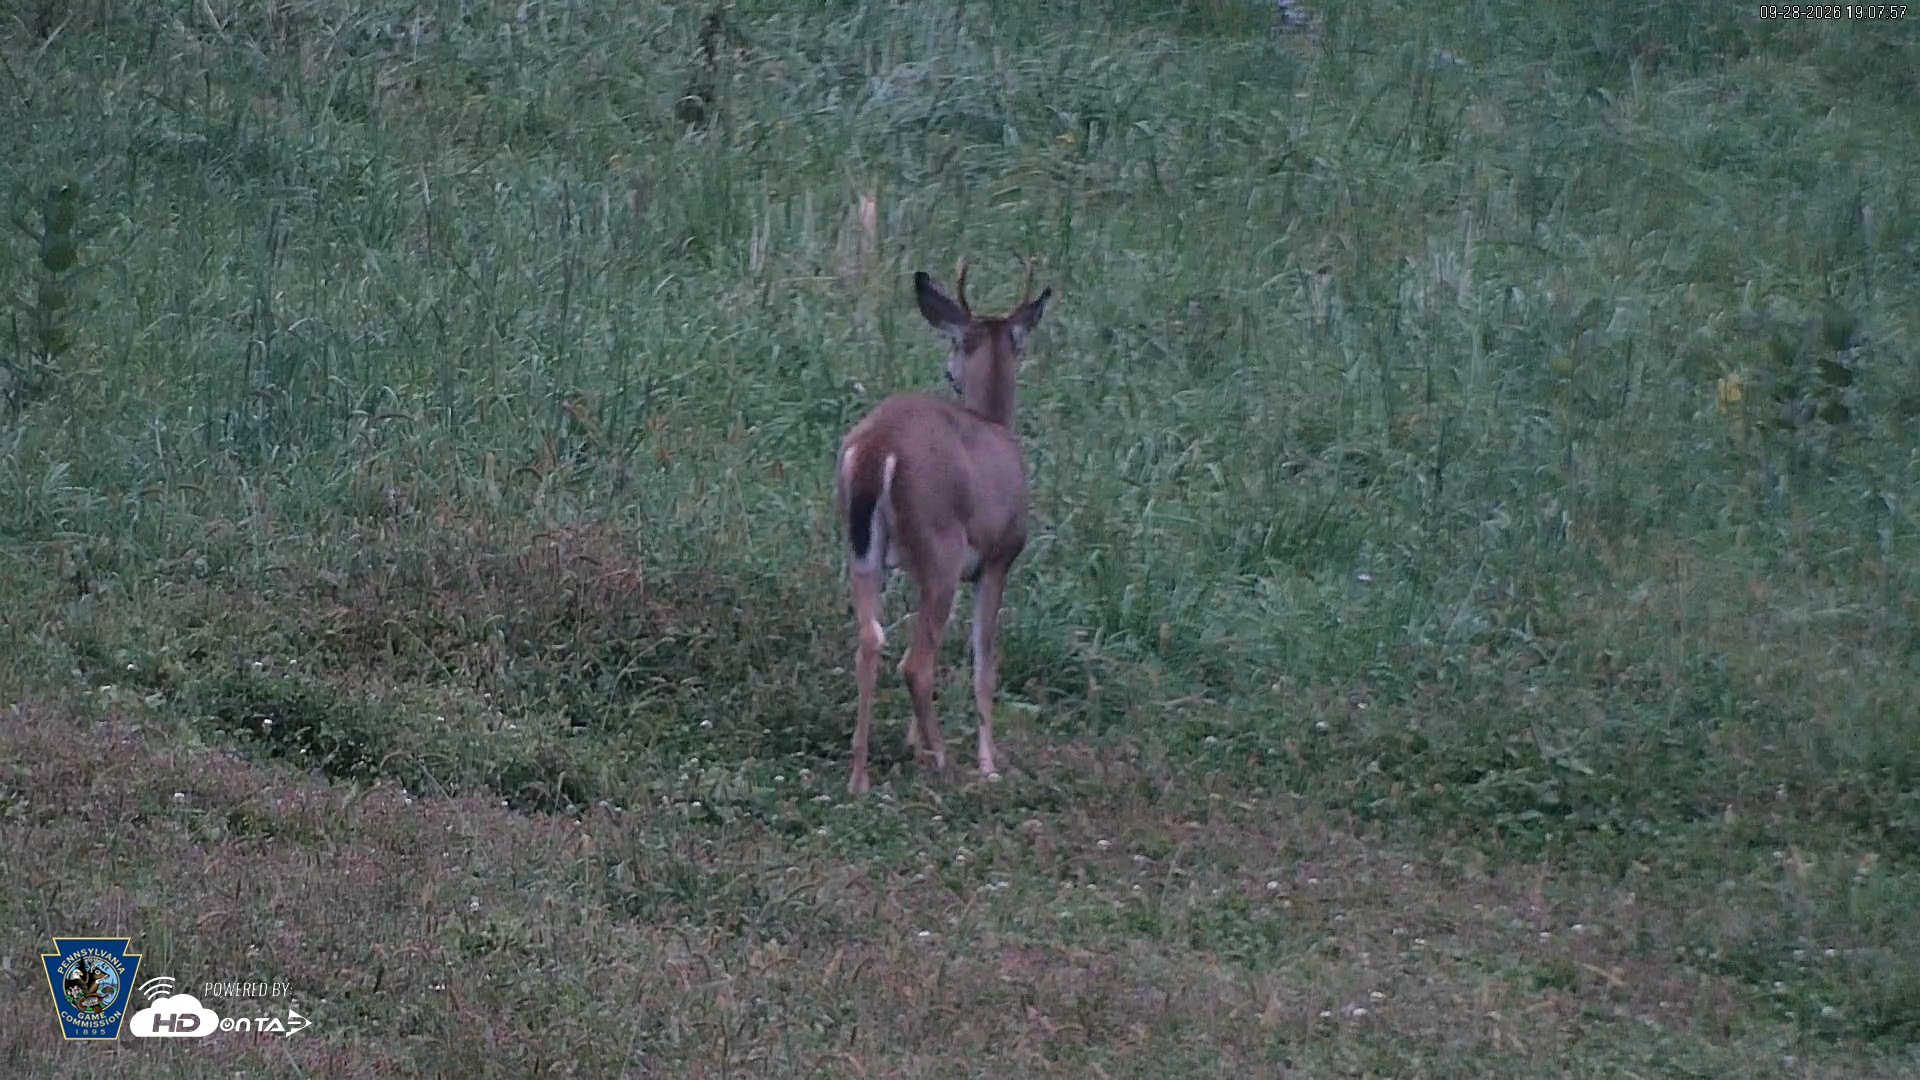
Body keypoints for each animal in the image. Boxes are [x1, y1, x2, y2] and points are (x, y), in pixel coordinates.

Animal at [834, 258, 1052, 795]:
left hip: (864, 548)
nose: (949, 375)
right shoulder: (998, 558)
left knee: (871, 638)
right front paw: (988, 764)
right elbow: (984, 664)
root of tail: (877, 447)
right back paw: (944, 764)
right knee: (916, 663)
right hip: (942, 548)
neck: (995, 424)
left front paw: (913, 743)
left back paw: (860, 776)